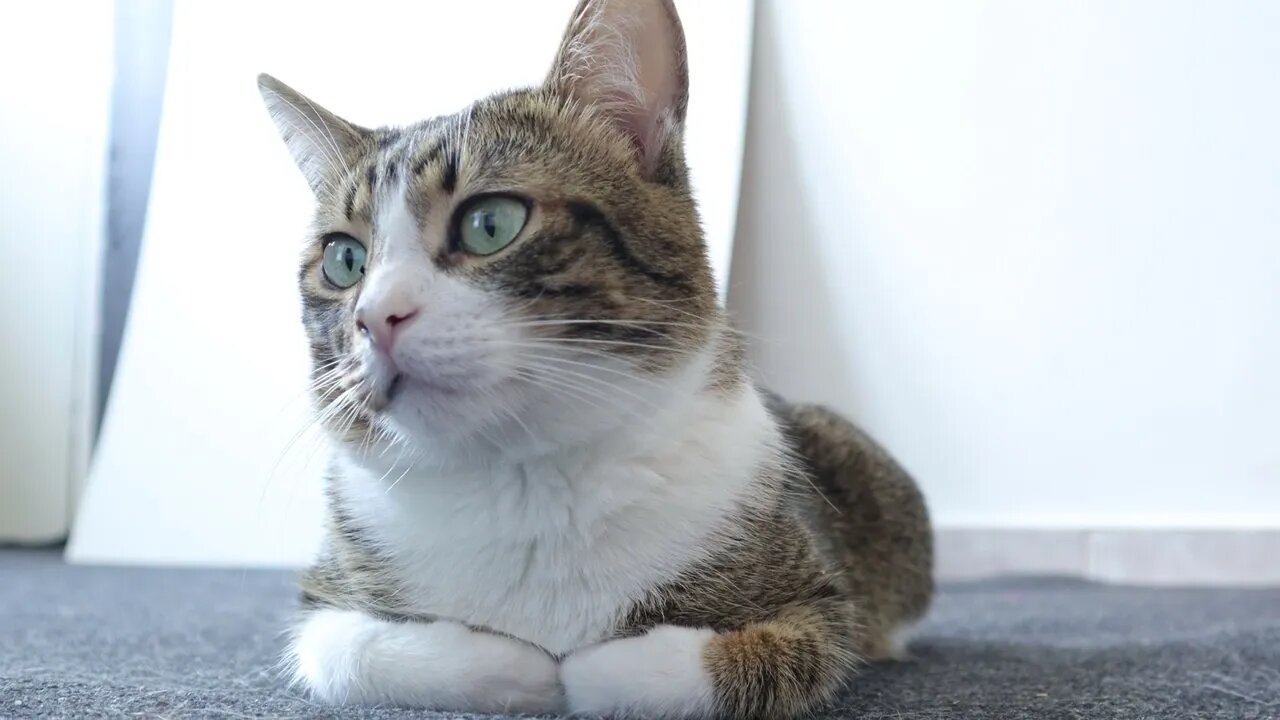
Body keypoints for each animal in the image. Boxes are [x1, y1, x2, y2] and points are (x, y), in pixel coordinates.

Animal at [257, 0, 931, 712]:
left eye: (489, 224)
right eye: (344, 260)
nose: (374, 317)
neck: (524, 477)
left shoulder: (816, 600)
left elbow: (760, 655)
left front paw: (585, 670)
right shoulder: (324, 599)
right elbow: (347, 652)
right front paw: (520, 668)